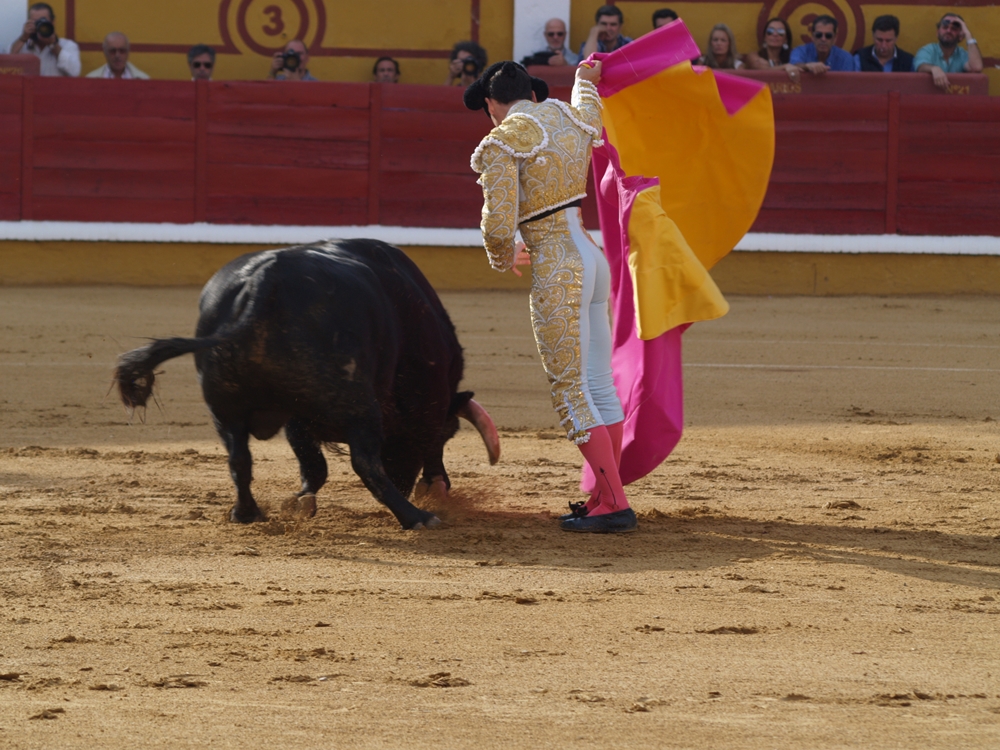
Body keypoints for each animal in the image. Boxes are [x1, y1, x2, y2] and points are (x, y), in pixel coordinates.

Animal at [113, 241, 500, 528]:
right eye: (448, 434)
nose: (414, 486)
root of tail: (263, 282)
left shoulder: (296, 415)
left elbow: (309, 462)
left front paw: (300, 502)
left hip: (226, 405)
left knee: (239, 457)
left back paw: (246, 514)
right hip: (356, 404)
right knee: (366, 462)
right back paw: (416, 518)